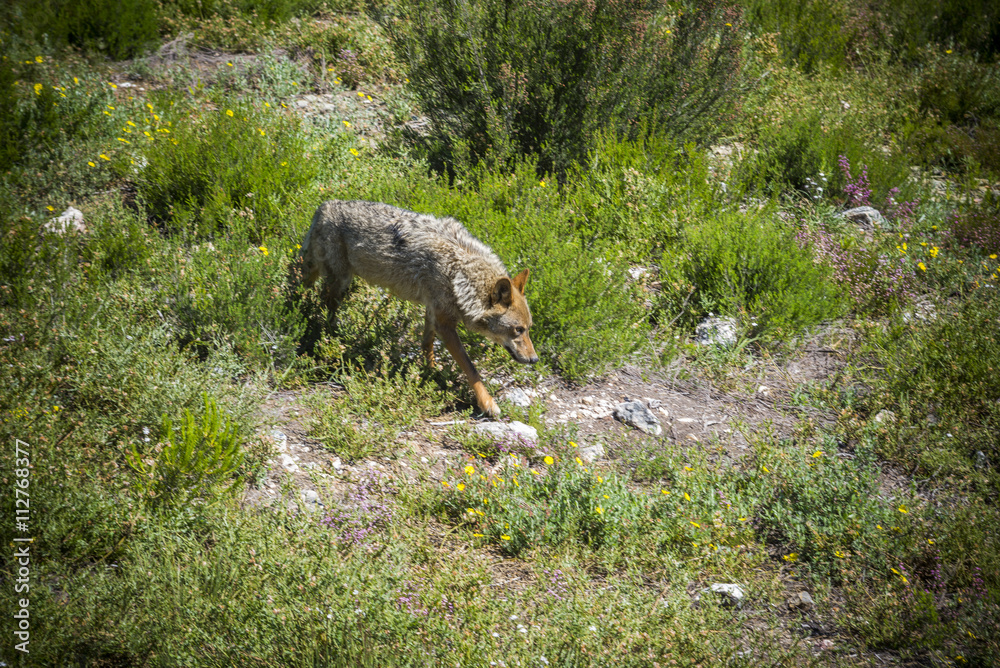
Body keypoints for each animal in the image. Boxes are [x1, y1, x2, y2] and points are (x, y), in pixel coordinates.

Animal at [296, 200, 538, 417]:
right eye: (518, 330)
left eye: (528, 329)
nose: (535, 360)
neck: (460, 272)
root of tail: (323, 207)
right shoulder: (445, 324)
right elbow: (471, 368)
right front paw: (488, 404)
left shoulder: (433, 312)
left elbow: (426, 344)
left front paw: (429, 372)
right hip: (340, 282)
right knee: (323, 305)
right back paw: (326, 336)